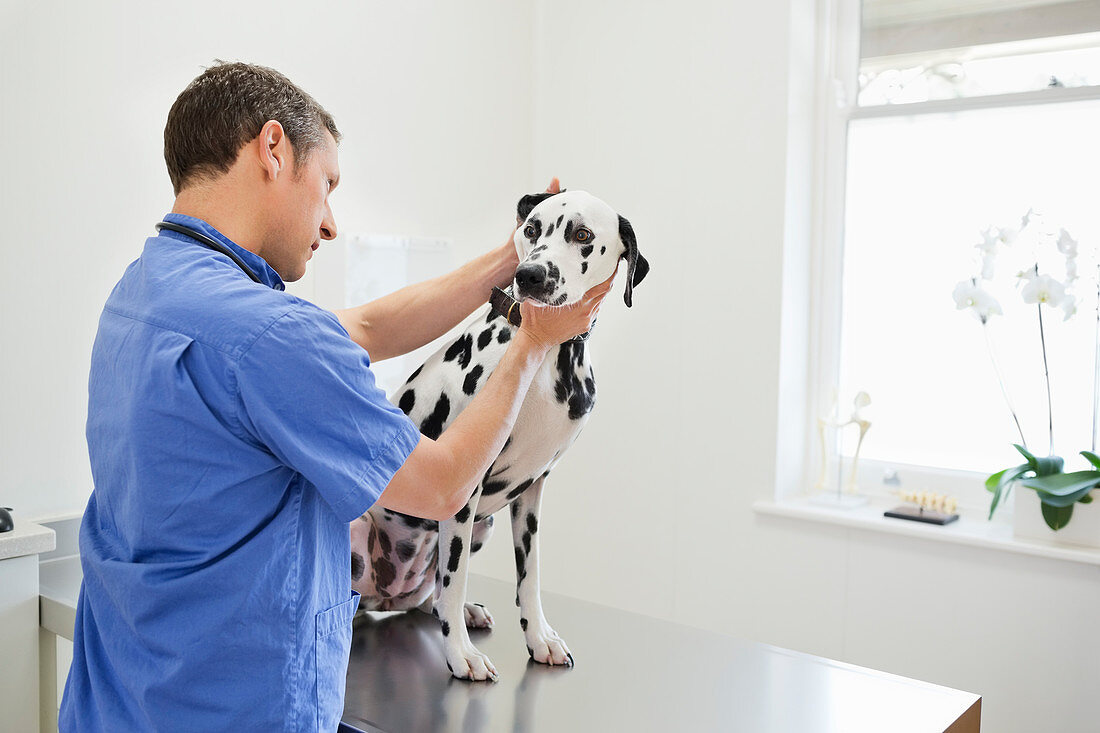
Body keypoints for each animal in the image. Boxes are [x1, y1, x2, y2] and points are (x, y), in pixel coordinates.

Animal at [347, 188, 646, 677]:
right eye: (532, 229)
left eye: (583, 235)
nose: (529, 275)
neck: (547, 361)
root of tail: (387, 597)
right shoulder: (464, 493)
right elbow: (455, 580)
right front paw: (460, 654)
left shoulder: (532, 492)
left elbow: (529, 578)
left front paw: (539, 639)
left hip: (482, 526)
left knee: (429, 598)